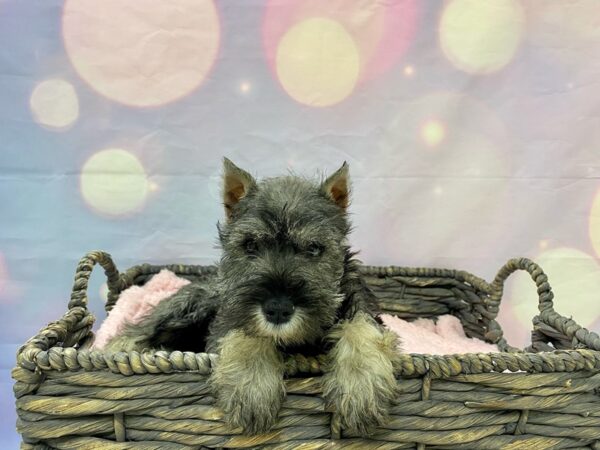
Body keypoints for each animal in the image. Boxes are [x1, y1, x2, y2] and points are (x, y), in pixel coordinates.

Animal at [105, 159, 400, 436]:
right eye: (250, 245)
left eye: (314, 248)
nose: (278, 309)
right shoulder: (229, 317)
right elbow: (247, 331)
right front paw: (251, 387)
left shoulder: (361, 306)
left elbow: (361, 327)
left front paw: (362, 387)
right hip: (190, 307)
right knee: (138, 330)